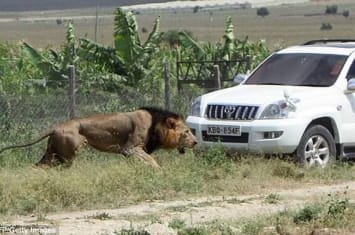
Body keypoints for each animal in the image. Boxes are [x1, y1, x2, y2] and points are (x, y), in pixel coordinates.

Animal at [0, 107, 197, 168]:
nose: (195, 142)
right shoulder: (131, 148)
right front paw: (159, 172)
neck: (156, 125)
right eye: (187, 132)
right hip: (68, 154)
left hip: (54, 153)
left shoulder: (129, 153)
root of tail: (56, 127)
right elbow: (152, 161)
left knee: (38, 166)